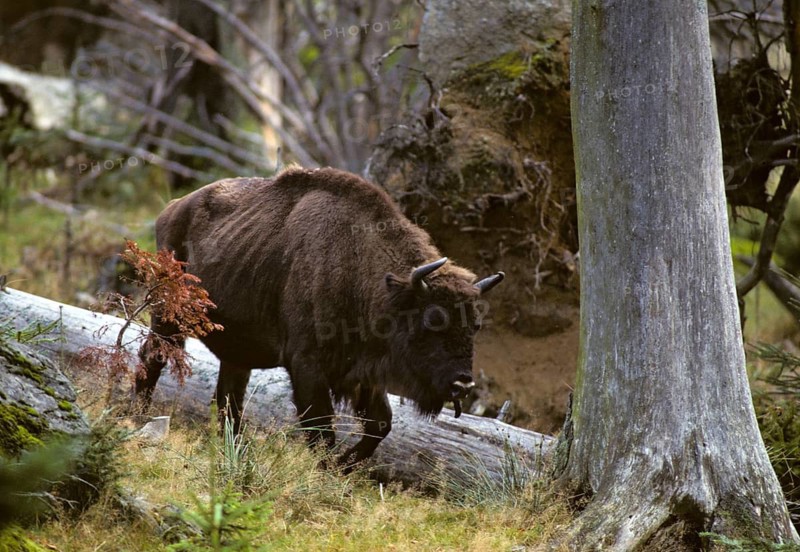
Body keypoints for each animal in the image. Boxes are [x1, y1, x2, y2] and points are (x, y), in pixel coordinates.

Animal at [137, 167, 504, 464]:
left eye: (475, 325)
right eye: (432, 320)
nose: (463, 383)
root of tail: (172, 209)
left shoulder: (363, 375)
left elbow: (380, 424)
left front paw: (343, 467)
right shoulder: (307, 366)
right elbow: (322, 429)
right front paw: (328, 470)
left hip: (235, 351)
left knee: (229, 397)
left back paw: (232, 448)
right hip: (167, 317)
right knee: (152, 358)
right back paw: (138, 418)